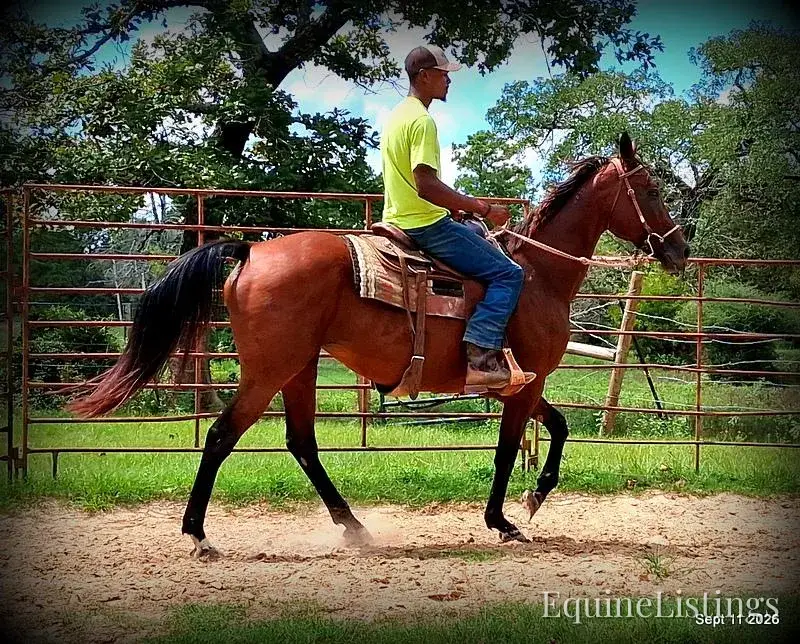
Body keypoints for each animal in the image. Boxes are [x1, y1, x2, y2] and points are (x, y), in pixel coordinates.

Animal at [68, 133, 689, 556]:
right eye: (652, 189)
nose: (680, 249)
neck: (535, 274)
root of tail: (250, 251)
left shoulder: (525, 384)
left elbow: (556, 428)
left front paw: (534, 498)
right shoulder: (522, 385)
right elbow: (509, 449)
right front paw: (505, 519)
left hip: (299, 369)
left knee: (302, 444)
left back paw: (353, 526)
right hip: (269, 371)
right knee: (223, 437)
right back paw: (198, 534)